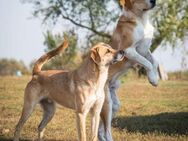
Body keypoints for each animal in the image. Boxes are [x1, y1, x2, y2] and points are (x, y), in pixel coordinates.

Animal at [98, 0, 159, 140]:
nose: (154, 1)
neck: (142, 19)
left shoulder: (145, 49)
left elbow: (154, 62)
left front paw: (155, 77)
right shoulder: (129, 50)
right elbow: (147, 63)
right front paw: (152, 79)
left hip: (114, 105)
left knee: (100, 130)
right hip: (107, 104)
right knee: (106, 131)